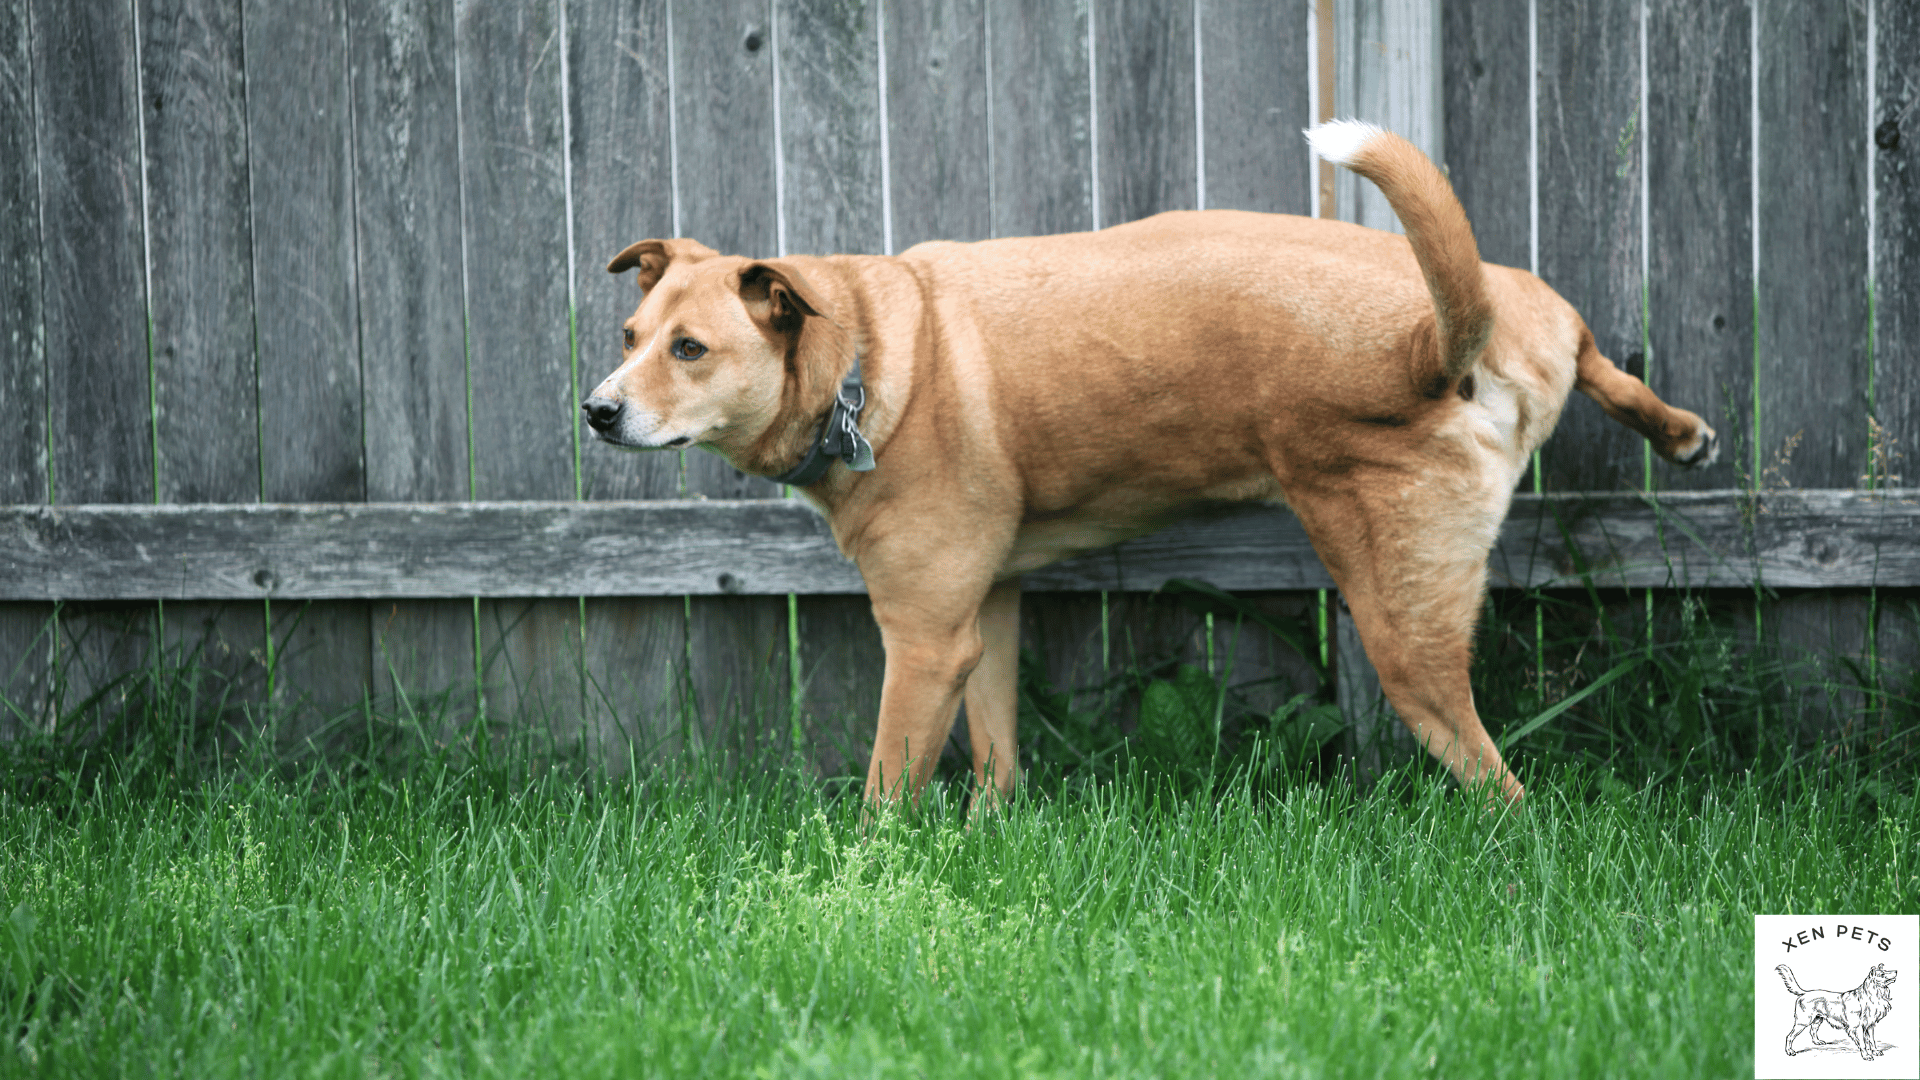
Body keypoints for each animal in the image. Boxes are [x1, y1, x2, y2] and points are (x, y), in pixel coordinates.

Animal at [579, 122, 1712, 803]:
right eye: (631, 334)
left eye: (689, 350)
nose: (596, 410)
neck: (867, 348)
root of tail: (1436, 340)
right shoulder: (982, 614)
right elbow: (996, 755)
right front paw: (994, 834)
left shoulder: (924, 638)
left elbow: (885, 792)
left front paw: (866, 884)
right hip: (1533, 308)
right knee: (1593, 352)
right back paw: (1676, 428)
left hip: (1403, 626)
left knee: (1501, 786)